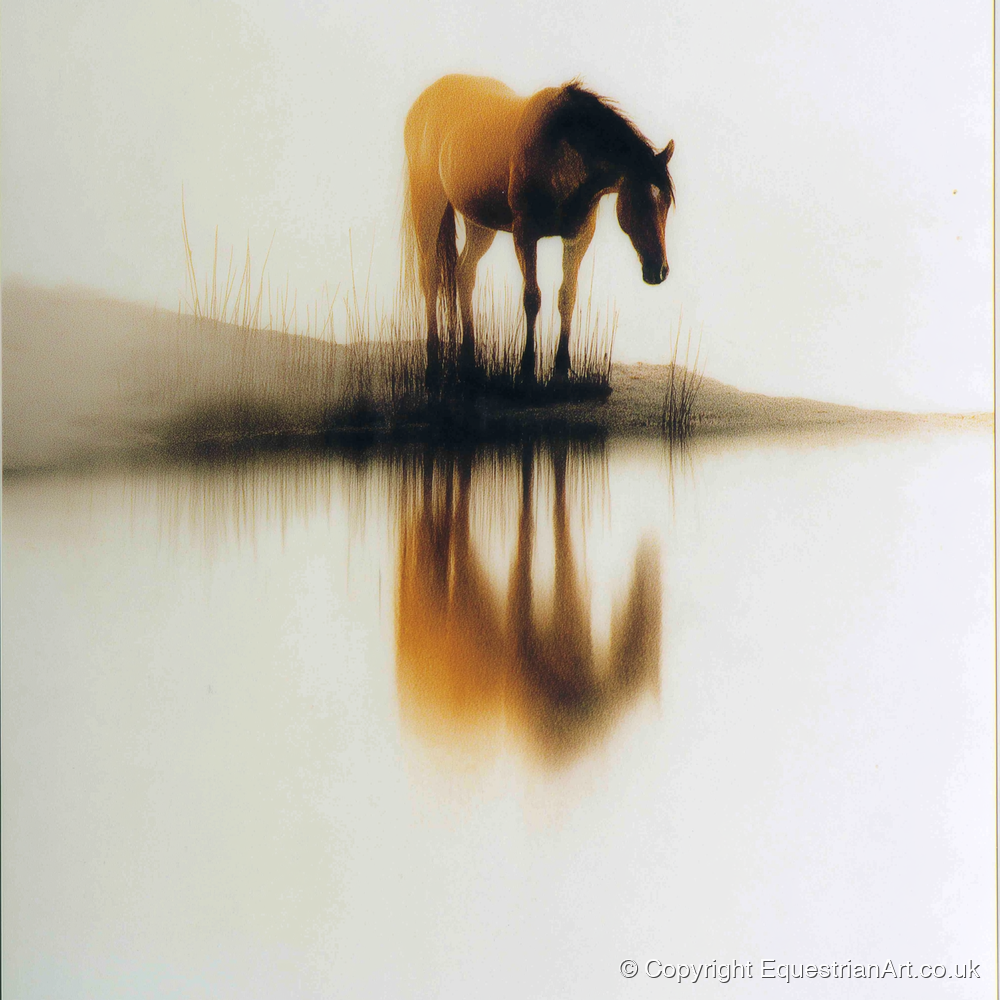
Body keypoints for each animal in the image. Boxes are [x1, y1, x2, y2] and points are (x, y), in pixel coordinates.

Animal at [401, 74, 675, 387]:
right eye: (639, 201)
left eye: (666, 202)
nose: (659, 270)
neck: (558, 148)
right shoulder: (525, 235)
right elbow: (532, 298)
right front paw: (527, 370)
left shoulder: (578, 239)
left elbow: (567, 296)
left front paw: (561, 369)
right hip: (428, 203)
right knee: (431, 276)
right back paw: (433, 368)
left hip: (479, 222)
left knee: (464, 272)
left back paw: (469, 364)